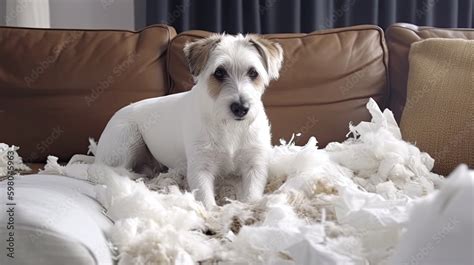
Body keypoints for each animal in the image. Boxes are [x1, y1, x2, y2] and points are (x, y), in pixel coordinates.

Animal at [94, 33, 284, 207]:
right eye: (219, 72)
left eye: (253, 73)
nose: (241, 108)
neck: (229, 126)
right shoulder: (200, 169)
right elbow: (207, 202)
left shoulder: (255, 165)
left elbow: (251, 197)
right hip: (129, 138)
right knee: (114, 170)